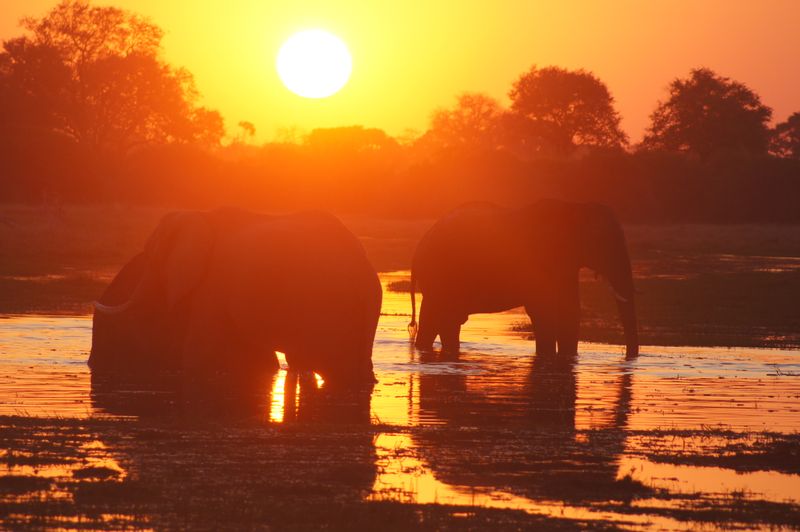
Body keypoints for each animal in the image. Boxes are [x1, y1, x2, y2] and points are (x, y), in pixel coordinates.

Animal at [89, 209, 382, 390]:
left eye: (151, 256)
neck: (201, 215)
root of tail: (363, 271)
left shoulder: (213, 282)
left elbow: (201, 351)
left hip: (327, 307)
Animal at [410, 202, 640, 360]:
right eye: (604, 243)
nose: (628, 356)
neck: (573, 208)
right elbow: (543, 310)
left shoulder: (565, 263)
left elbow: (570, 310)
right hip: (440, 277)